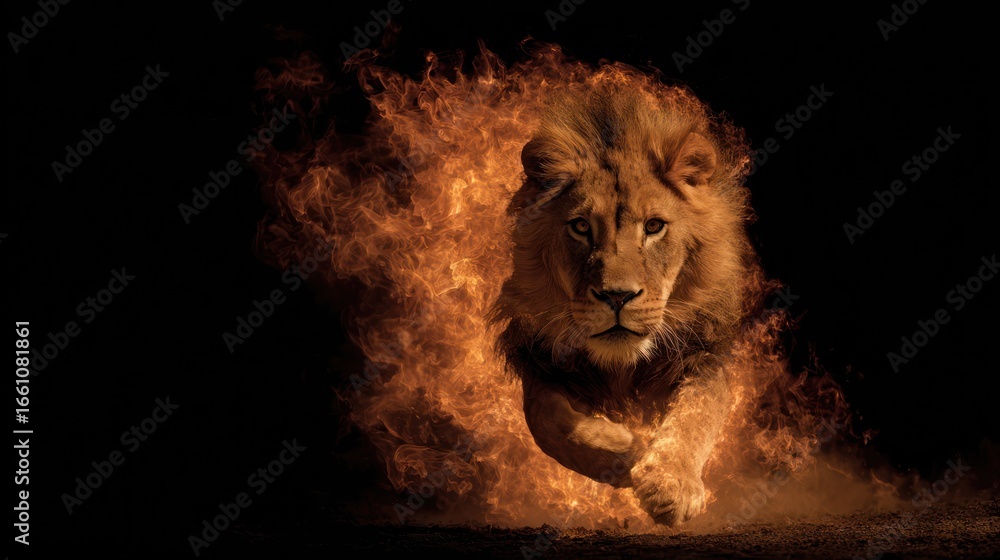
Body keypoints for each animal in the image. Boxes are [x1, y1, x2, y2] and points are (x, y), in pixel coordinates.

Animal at [489, 73, 760, 526]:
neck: (622, 366)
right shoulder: (540, 360)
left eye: (653, 226)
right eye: (581, 226)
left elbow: (696, 416)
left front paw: (670, 483)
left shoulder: (705, 353)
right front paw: (628, 453)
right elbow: (545, 421)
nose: (617, 296)